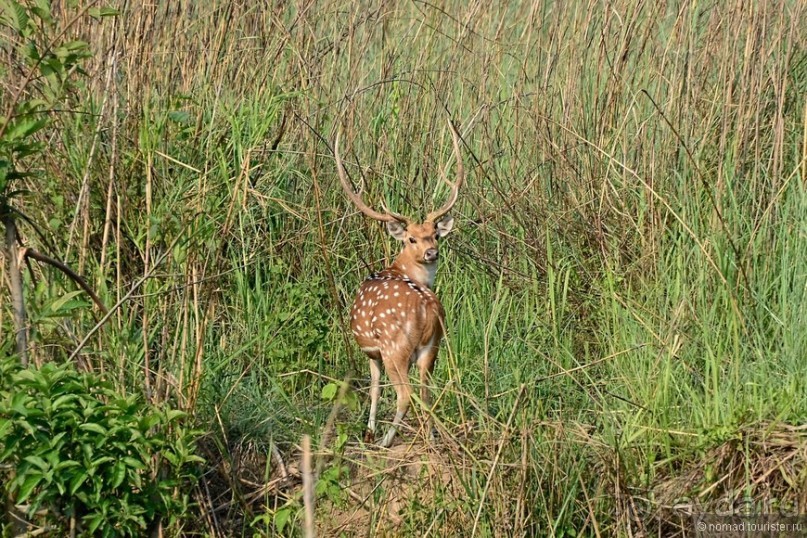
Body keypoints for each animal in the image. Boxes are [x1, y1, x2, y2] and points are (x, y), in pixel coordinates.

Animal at [332, 119, 460, 446]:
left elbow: (375, 386)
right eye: (413, 237)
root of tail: (428, 308)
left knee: (406, 394)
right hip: (433, 347)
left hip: (395, 346)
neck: (399, 269)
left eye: (436, 234)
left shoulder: (372, 350)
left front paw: (370, 429)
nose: (432, 251)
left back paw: (386, 441)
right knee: (426, 393)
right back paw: (430, 435)